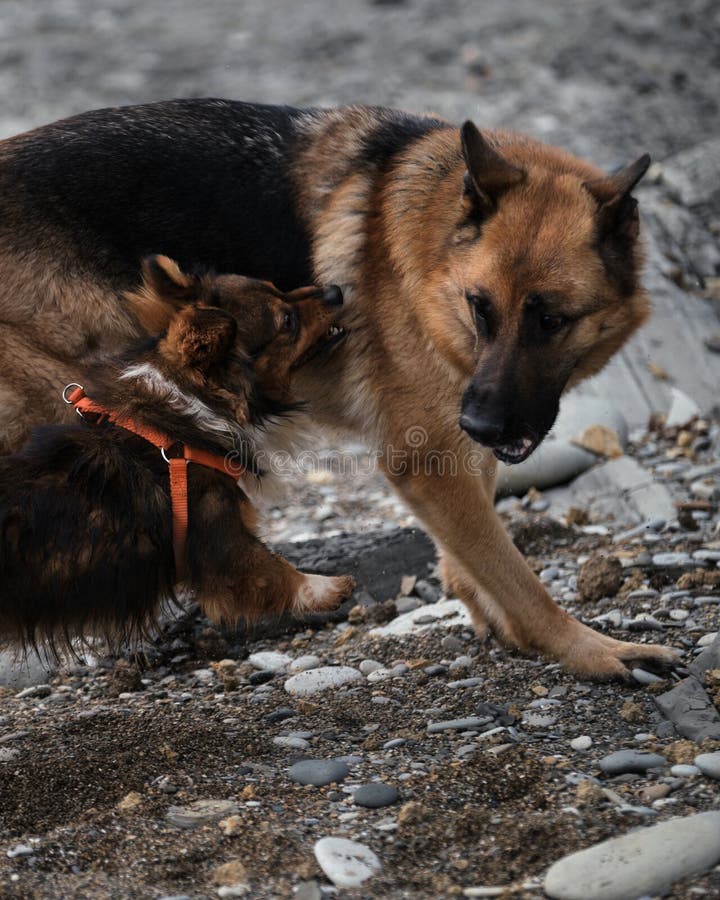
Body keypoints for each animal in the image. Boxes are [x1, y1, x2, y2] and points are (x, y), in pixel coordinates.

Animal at [0, 256, 354, 652]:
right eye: (287, 321)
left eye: (277, 285)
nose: (335, 290)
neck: (187, 407)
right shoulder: (221, 539)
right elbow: (276, 569)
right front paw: (329, 587)